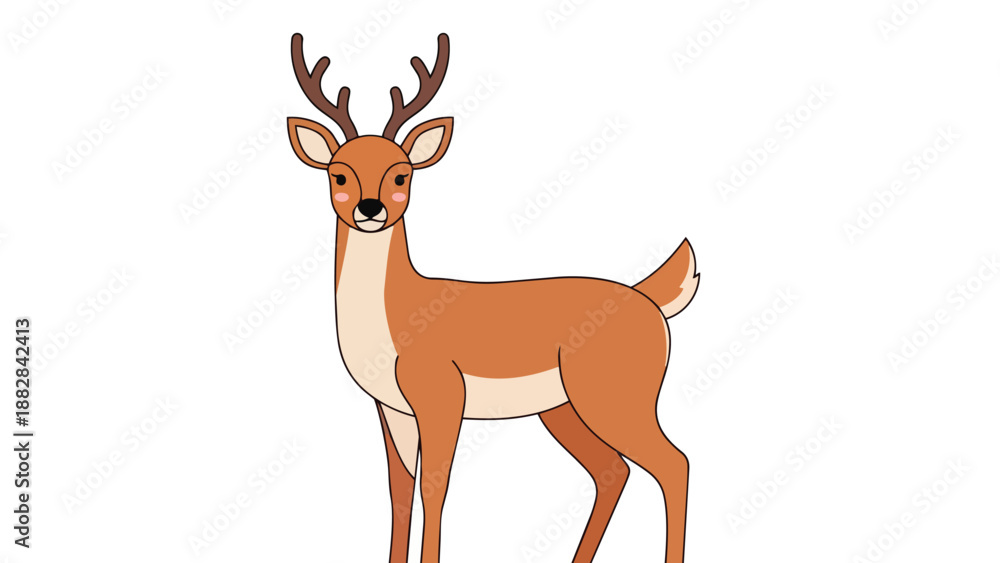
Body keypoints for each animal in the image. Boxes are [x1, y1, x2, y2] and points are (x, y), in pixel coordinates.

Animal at [286, 32, 699, 563]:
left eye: (401, 174)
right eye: (338, 173)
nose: (370, 208)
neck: (397, 314)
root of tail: (649, 299)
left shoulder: (442, 398)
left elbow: (435, 488)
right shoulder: (392, 410)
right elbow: (400, 492)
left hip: (616, 400)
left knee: (673, 464)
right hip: (563, 410)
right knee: (614, 471)